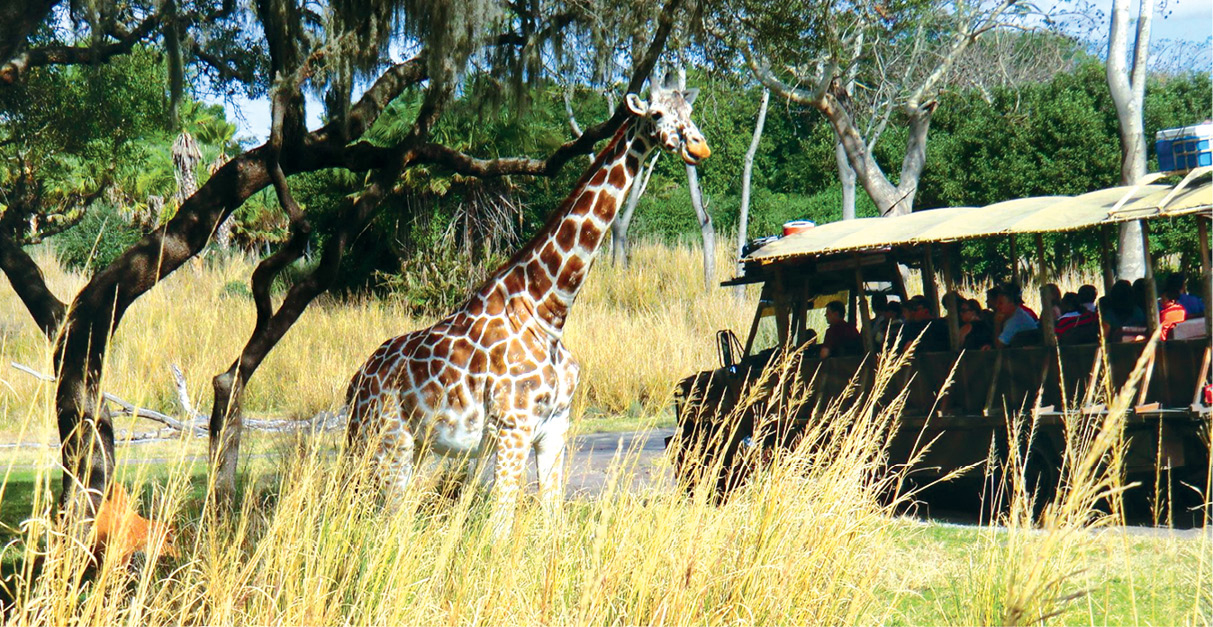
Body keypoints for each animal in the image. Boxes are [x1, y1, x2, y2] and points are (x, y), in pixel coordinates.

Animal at [346, 79, 708, 528]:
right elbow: (500, 528)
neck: (548, 311)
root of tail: (356, 383)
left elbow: (553, 520)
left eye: (690, 114)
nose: (698, 147)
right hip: (385, 439)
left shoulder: (554, 428)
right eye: (656, 114)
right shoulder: (512, 428)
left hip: (413, 445)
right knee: (378, 516)